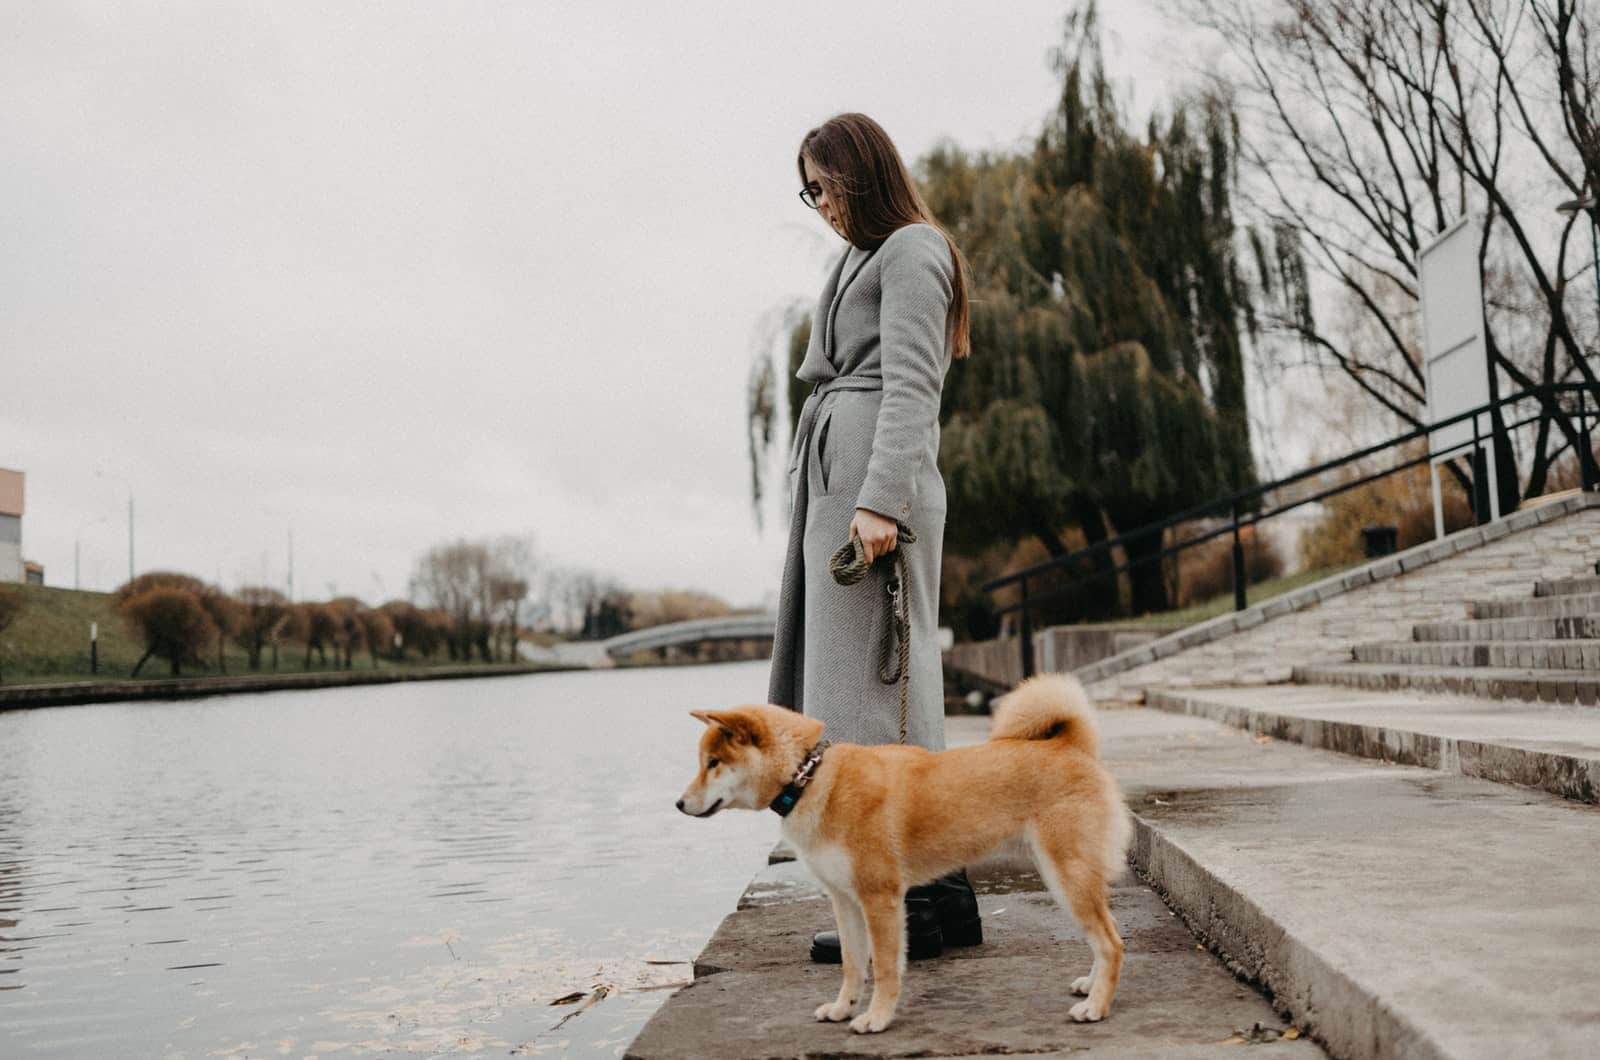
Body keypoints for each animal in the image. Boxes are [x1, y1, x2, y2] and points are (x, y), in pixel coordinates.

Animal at [681, 675, 1132, 1031]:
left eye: (713, 762)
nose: (679, 804)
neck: (809, 778)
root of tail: (1073, 747)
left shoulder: (880, 899)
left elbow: (883, 968)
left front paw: (877, 1018)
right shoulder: (845, 901)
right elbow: (852, 965)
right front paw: (843, 1008)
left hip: (1067, 875)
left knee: (1111, 942)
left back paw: (1096, 1007)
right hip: (1063, 876)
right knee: (1104, 934)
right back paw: (1091, 987)